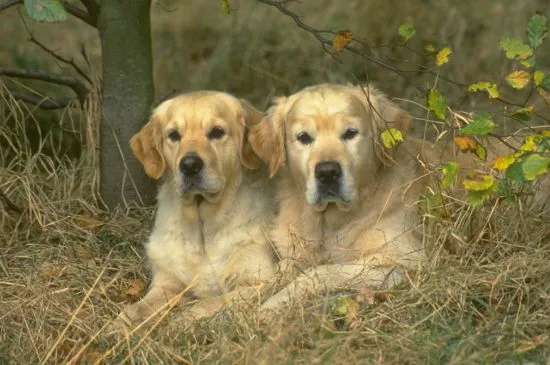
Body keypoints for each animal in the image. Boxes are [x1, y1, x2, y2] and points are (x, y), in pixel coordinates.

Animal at [119, 89, 278, 322]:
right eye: (174, 135)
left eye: (217, 132)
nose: (190, 165)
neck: (202, 229)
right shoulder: (166, 284)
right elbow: (136, 310)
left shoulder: (254, 281)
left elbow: (202, 306)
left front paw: (180, 321)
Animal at [249, 84, 436, 308]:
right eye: (303, 137)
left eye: (350, 133)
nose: (327, 172)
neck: (329, 223)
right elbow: (266, 280)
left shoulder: (404, 260)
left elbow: (320, 272)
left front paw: (272, 304)